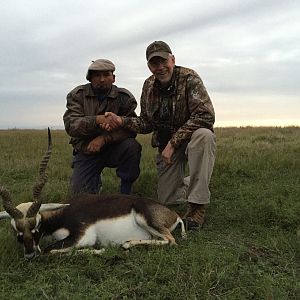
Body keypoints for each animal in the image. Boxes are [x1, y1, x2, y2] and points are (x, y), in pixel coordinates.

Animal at [0, 128, 186, 258]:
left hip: (145, 219)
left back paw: (126, 245)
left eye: (36, 225)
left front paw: (99, 251)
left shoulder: (82, 236)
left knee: (171, 241)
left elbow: (49, 250)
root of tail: (174, 215)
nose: (30, 254)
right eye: (15, 229)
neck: (59, 216)